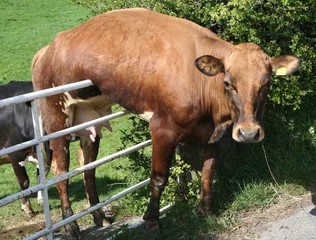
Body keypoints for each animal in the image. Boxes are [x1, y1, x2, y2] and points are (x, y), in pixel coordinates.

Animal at [30, 7, 300, 238]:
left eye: (267, 83)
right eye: (227, 82)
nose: (249, 133)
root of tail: (47, 49)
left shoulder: (210, 133)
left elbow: (208, 170)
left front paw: (205, 211)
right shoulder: (163, 129)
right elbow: (159, 178)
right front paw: (151, 222)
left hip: (88, 118)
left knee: (87, 166)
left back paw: (99, 217)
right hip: (56, 117)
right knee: (60, 170)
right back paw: (72, 227)